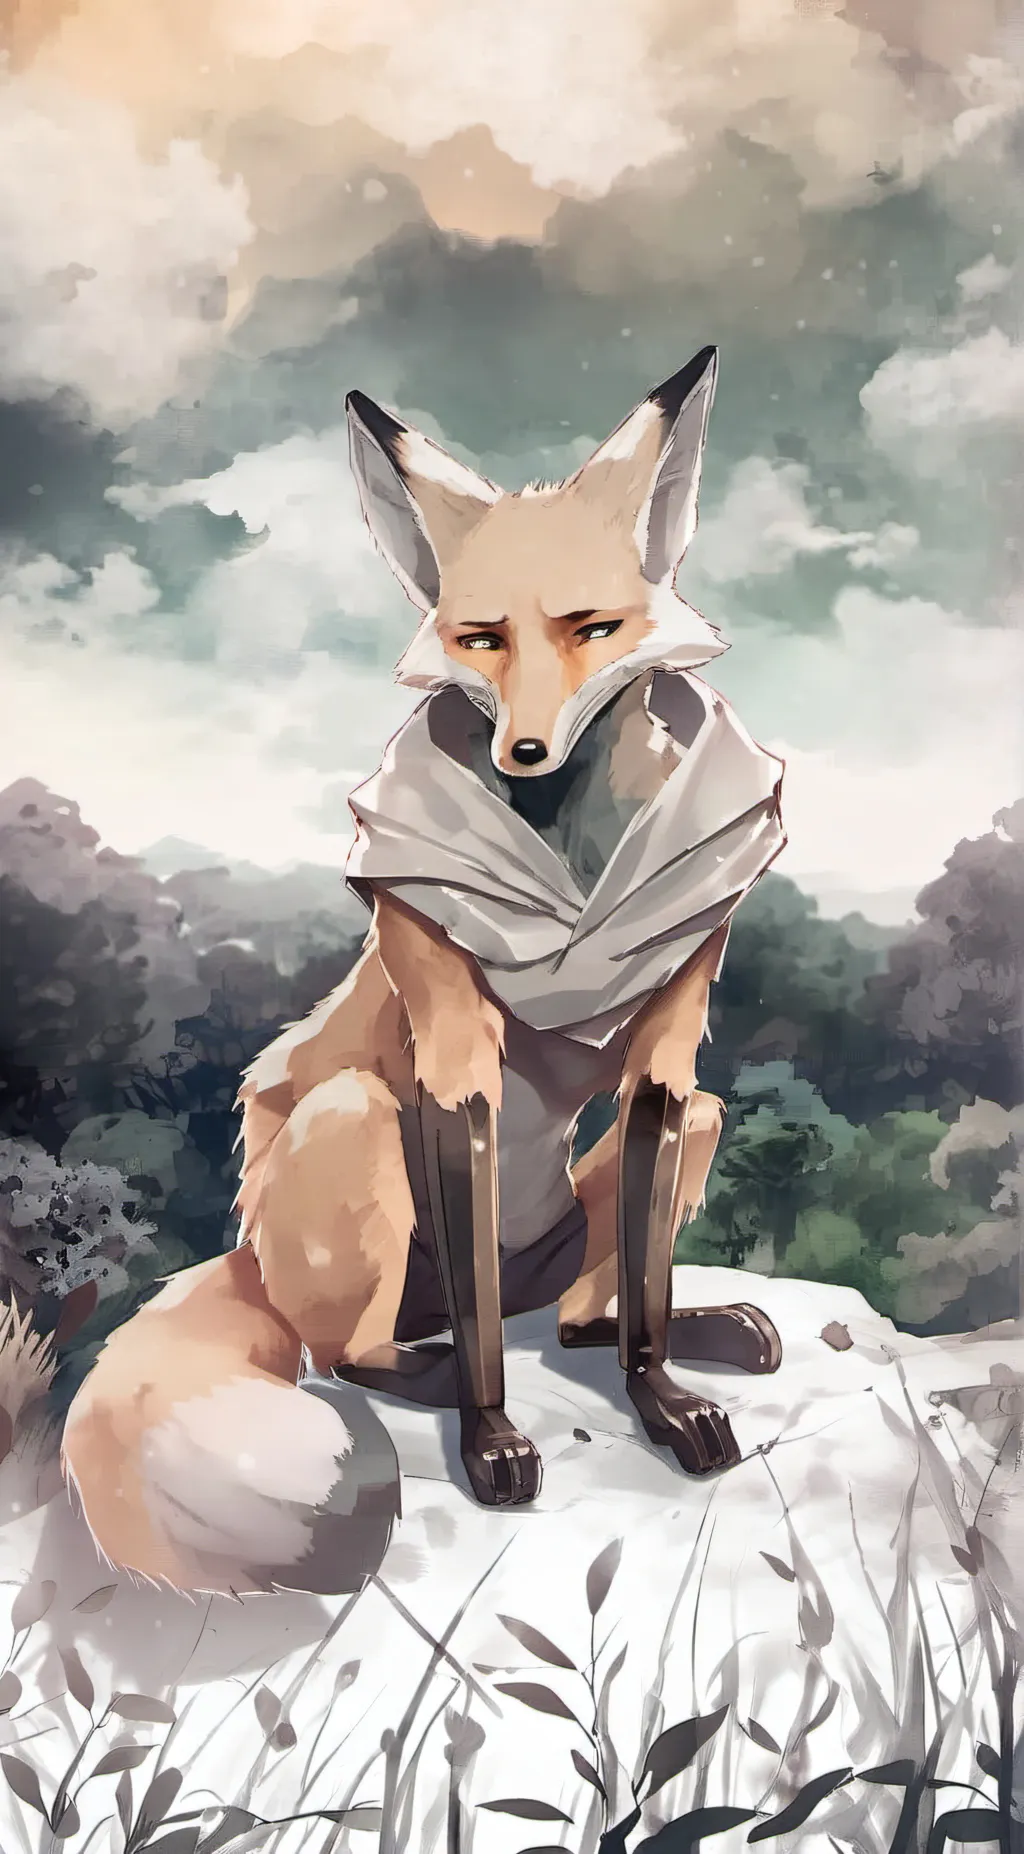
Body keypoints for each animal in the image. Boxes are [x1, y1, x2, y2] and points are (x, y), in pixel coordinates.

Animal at [61, 347, 787, 1596]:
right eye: (481, 637)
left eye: (591, 627)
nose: (524, 751)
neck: (570, 862)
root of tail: (244, 1251)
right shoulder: (450, 1044)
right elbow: (488, 1355)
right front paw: (492, 1438)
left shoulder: (670, 1040)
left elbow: (641, 1316)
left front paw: (663, 1402)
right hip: (358, 1134)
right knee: (354, 1352)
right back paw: (430, 1375)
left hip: (676, 1139)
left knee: (585, 1319)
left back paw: (706, 1332)